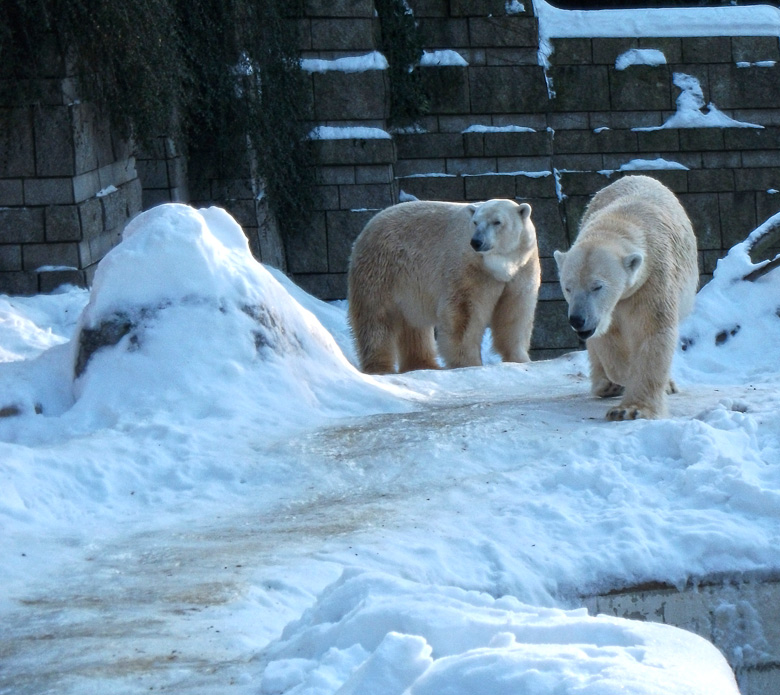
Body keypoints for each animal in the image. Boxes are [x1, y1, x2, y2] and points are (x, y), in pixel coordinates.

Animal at [348, 198, 540, 376]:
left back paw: (423, 364)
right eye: (475, 222)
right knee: (376, 317)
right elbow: (464, 314)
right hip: (382, 269)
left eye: (497, 221)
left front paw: (520, 359)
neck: (499, 266)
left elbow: (515, 313)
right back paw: (380, 367)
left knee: (413, 324)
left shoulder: (522, 269)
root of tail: (370, 225)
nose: (476, 242)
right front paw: (469, 363)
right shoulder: (469, 268)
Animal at [556, 177, 700, 422]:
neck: (620, 220)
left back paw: (667, 385)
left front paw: (630, 409)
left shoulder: (651, 280)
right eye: (568, 287)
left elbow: (653, 331)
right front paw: (623, 377)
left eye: (597, 286)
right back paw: (606, 386)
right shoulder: (607, 310)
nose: (577, 319)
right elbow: (607, 337)